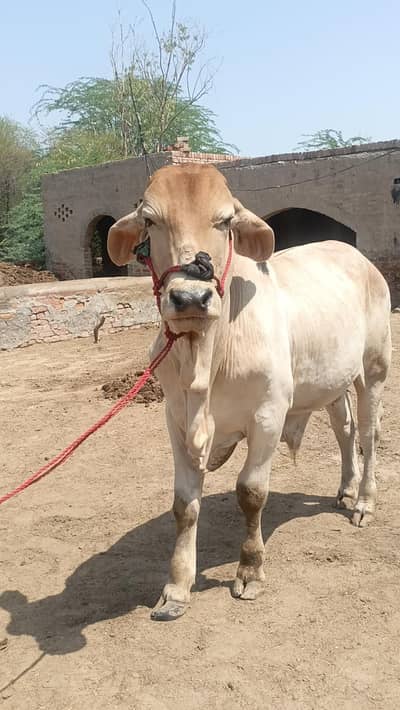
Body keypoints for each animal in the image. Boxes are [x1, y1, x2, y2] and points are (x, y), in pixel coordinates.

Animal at [107, 163, 391, 621]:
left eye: (225, 221)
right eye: (149, 220)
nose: (190, 297)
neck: (206, 353)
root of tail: (356, 255)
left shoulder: (269, 415)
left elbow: (251, 492)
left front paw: (250, 570)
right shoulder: (175, 419)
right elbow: (184, 505)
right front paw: (177, 587)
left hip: (374, 368)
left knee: (368, 434)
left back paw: (364, 501)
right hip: (333, 381)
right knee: (345, 431)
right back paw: (346, 490)